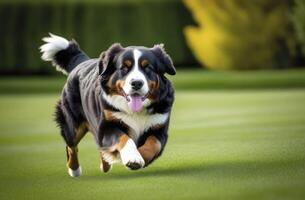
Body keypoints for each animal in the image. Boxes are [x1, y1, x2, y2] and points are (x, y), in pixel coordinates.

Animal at [39, 33, 175, 177]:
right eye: (124, 68)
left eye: (147, 67)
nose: (136, 83)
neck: (135, 112)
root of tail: (82, 63)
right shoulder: (108, 126)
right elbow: (124, 138)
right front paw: (133, 156)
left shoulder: (159, 127)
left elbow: (154, 144)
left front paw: (140, 156)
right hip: (72, 125)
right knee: (71, 146)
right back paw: (74, 169)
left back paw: (105, 164)